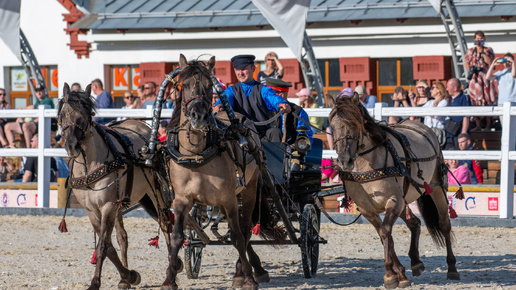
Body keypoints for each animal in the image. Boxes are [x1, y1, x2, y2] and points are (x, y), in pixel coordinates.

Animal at [57, 82, 172, 288]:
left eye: (85, 115)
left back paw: (173, 269)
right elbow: (110, 246)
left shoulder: (107, 206)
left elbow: (103, 245)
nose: (71, 146)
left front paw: (95, 282)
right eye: (62, 115)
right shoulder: (92, 210)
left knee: (165, 223)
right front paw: (129, 275)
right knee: (122, 237)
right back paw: (125, 279)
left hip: (155, 192)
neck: (88, 165)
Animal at [162, 55, 278, 290]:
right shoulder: (182, 200)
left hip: (247, 192)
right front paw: (169, 279)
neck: (197, 155)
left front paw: (248, 278)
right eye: (184, 85)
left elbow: (238, 237)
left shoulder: (229, 198)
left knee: (244, 229)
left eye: (209, 86)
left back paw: (246, 271)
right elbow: (177, 237)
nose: (198, 116)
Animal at [330, 93, 460, 288]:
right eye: (332, 126)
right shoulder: (368, 210)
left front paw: (390, 275)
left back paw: (452, 268)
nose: (345, 160)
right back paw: (416, 262)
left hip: (436, 188)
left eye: (354, 123)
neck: (366, 165)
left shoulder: (394, 200)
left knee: (444, 224)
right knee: (414, 223)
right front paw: (399, 274)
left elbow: (385, 232)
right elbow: (385, 237)